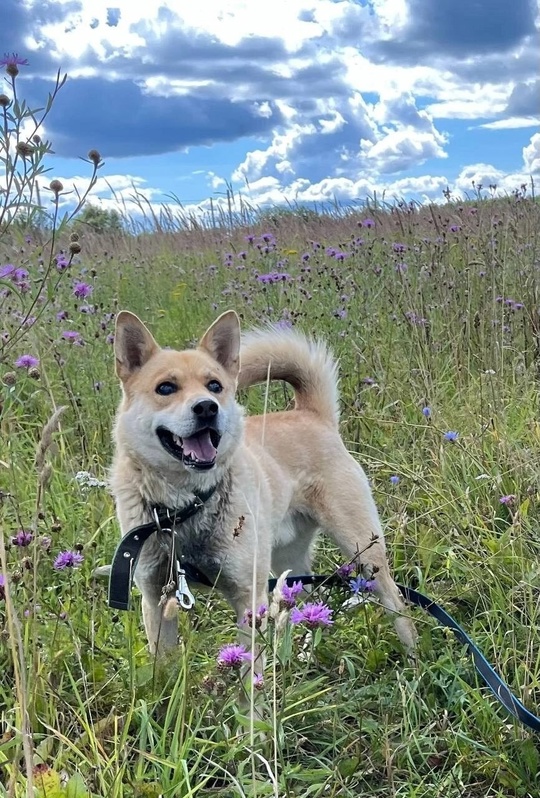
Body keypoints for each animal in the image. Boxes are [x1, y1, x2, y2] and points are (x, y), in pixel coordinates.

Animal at [108, 310, 414, 660]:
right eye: (166, 388)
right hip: (288, 562)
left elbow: (248, 666)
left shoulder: (248, 597)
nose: (207, 407)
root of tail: (312, 414)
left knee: (397, 605)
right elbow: (164, 666)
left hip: (364, 552)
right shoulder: (156, 600)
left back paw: (414, 659)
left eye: (215, 385)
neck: (185, 506)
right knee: (307, 602)